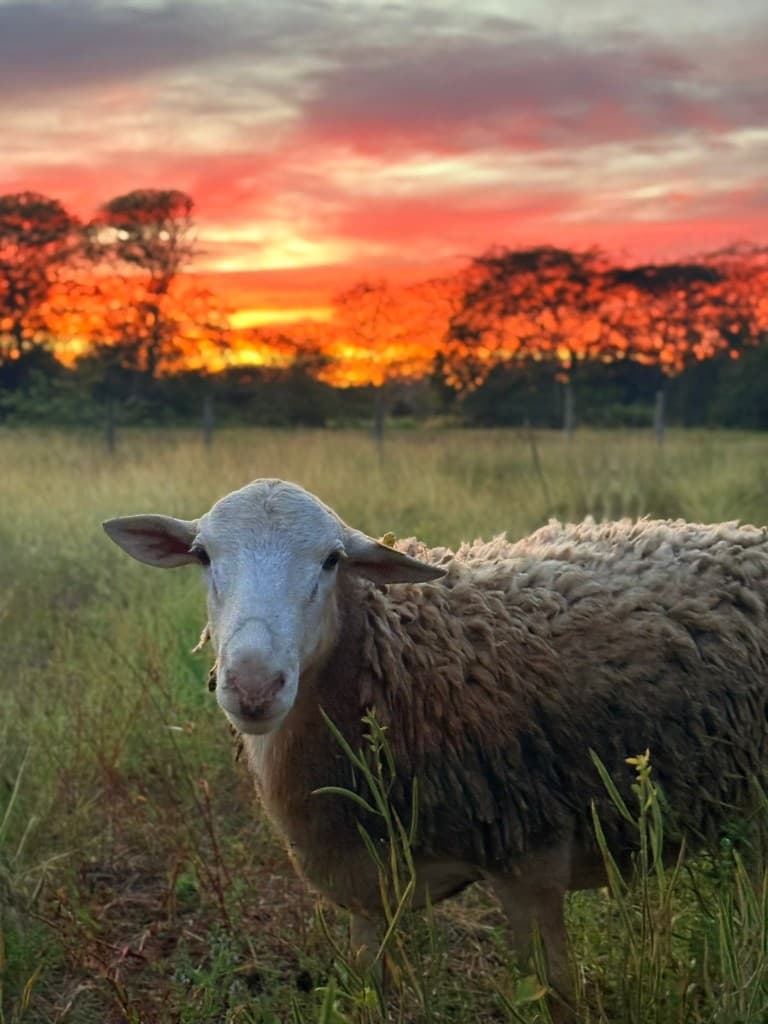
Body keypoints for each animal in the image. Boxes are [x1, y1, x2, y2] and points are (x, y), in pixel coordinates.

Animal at [103, 479, 768, 1020]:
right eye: (202, 556)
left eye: (332, 560)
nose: (253, 685)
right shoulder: (367, 889)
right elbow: (370, 991)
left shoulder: (532, 859)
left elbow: (556, 993)